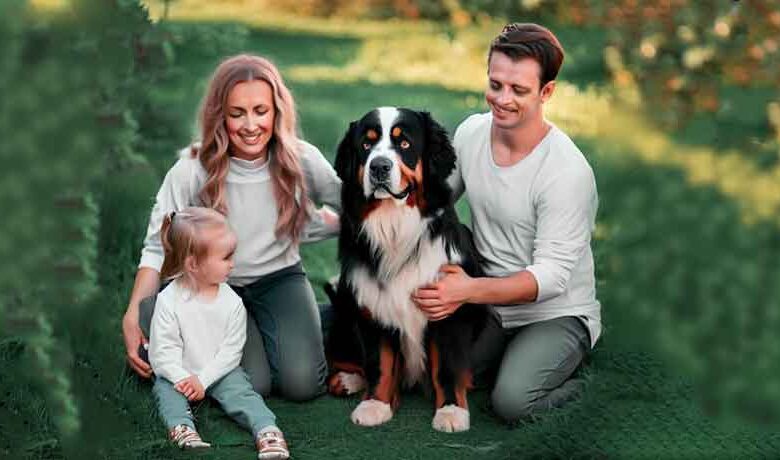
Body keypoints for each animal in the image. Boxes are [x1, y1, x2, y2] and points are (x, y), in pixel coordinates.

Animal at [324, 107, 484, 432]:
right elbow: (380, 363)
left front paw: (451, 411)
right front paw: (376, 405)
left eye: (405, 144)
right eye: (366, 144)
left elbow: (447, 366)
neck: (395, 226)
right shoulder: (372, 305)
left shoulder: (447, 307)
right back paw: (347, 378)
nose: (379, 167)